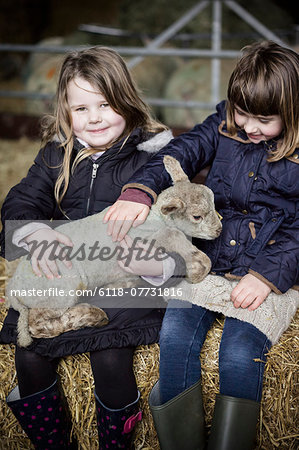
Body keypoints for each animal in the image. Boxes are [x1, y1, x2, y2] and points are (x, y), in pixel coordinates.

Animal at [5, 156, 223, 348]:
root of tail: (12, 289)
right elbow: (173, 235)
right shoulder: (147, 240)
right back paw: (92, 315)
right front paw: (199, 270)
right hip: (58, 291)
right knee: (38, 324)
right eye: (197, 216)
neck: (156, 218)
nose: (219, 230)